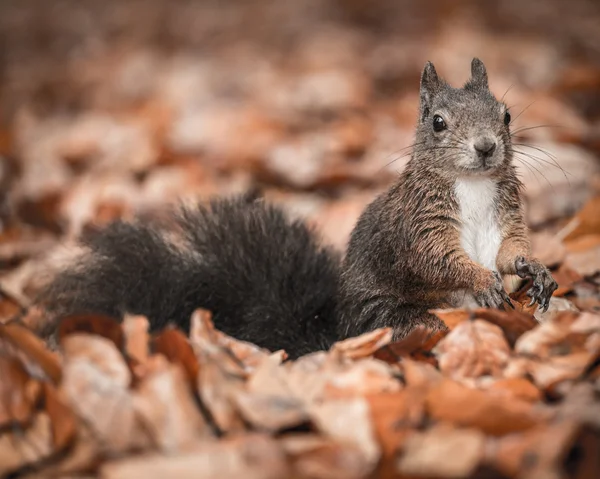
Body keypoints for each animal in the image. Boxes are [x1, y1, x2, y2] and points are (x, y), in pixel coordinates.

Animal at [36, 58, 556, 360]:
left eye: (506, 114)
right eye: (438, 122)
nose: (487, 147)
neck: (473, 185)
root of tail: (335, 339)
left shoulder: (506, 212)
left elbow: (511, 248)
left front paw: (535, 268)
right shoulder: (417, 226)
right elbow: (436, 260)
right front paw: (479, 279)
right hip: (394, 320)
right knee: (422, 326)